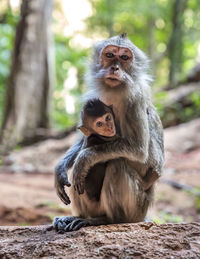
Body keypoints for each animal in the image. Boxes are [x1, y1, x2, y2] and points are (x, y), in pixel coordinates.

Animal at [53, 33, 164, 233]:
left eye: (125, 57)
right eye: (110, 55)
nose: (115, 67)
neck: (115, 90)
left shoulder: (135, 99)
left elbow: (139, 150)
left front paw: (85, 158)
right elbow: (85, 136)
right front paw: (60, 168)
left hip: (137, 207)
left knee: (117, 163)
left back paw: (109, 220)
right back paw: (79, 217)